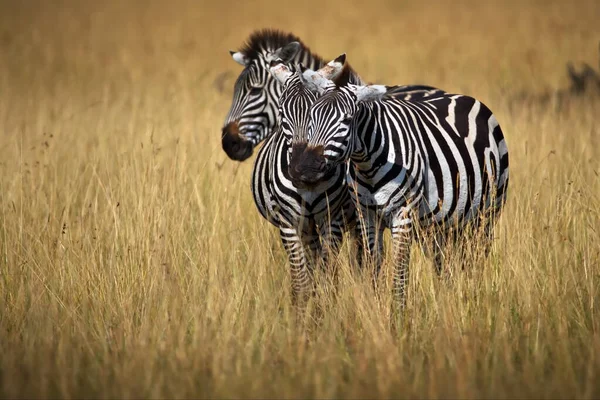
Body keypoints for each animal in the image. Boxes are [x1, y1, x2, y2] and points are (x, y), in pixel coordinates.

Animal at [250, 57, 356, 306]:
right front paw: (304, 312)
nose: (303, 170)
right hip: (307, 227)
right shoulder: (289, 223)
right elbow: (301, 282)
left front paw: (326, 309)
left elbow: (327, 275)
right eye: (282, 112)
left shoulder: (332, 219)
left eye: (318, 111)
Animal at [290, 56, 510, 308]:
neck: (367, 165)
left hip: (487, 213)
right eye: (311, 117)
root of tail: (466, 97)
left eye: (347, 120)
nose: (303, 169)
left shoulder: (403, 215)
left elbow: (399, 272)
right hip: (441, 224)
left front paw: (397, 313)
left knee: (476, 258)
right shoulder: (367, 216)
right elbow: (372, 266)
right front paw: (374, 307)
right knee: (445, 264)